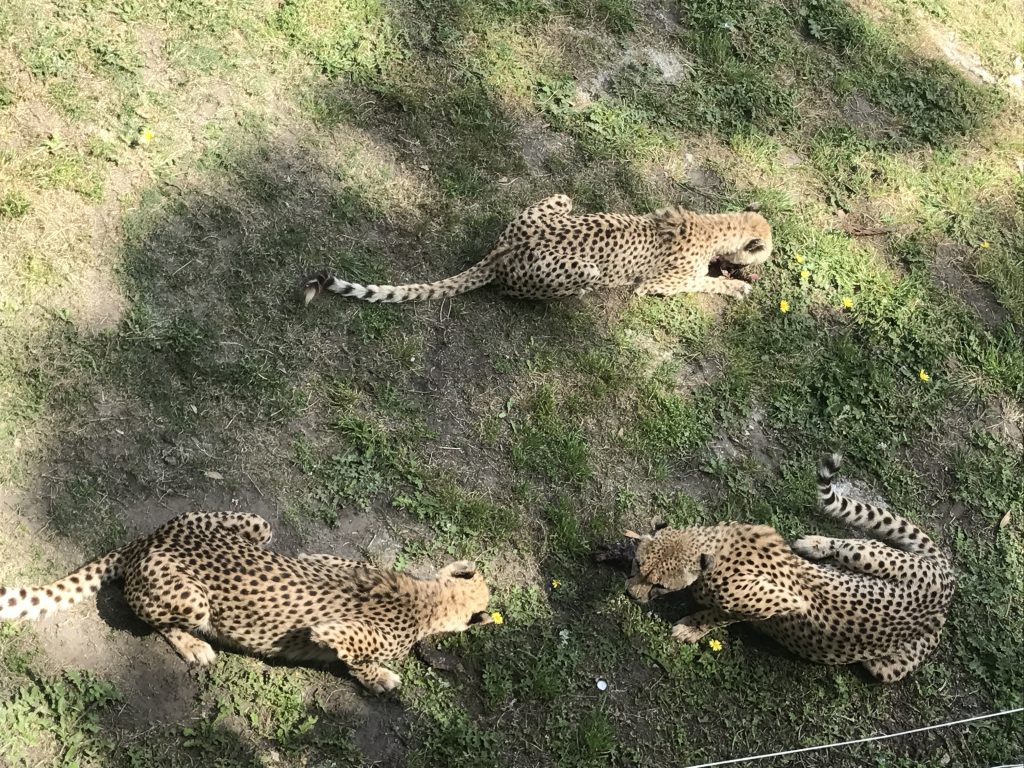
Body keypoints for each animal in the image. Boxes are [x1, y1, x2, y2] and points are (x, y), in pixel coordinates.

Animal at [0, 514, 495, 696]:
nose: (491, 617)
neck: (428, 597)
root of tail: (152, 538)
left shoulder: (322, 560)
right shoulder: (336, 633)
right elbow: (359, 660)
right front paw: (383, 679)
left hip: (258, 525)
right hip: (193, 600)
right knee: (147, 614)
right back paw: (194, 647)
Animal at [626, 454, 954, 684]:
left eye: (660, 585)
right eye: (638, 564)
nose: (631, 595)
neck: (715, 551)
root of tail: (946, 586)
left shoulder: (778, 601)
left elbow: (721, 616)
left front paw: (693, 628)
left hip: (885, 663)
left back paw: (813, 544)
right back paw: (814, 545)